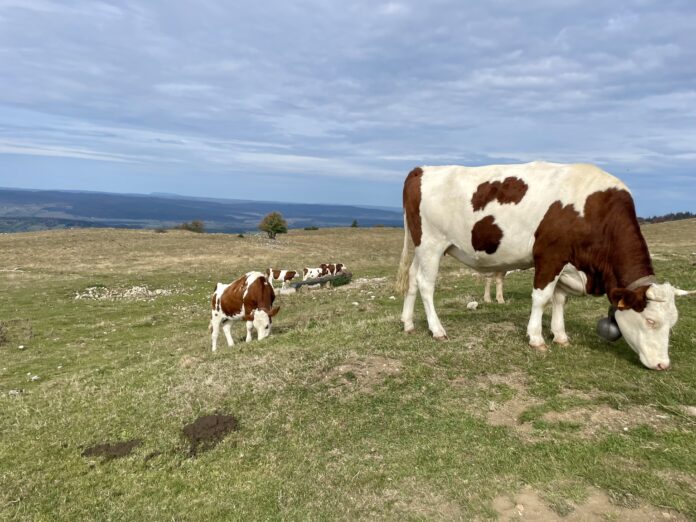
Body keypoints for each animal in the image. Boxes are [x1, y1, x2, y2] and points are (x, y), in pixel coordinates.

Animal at [396, 161, 689, 370]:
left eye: (673, 323)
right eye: (650, 320)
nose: (663, 365)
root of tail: (422, 169)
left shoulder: (567, 264)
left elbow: (559, 300)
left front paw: (560, 336)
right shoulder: (550, 257)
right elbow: (541, 297)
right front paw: (536, 338)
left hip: (422, 248)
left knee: (412, 279)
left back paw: (408, 323)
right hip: (432, 244)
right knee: (426, 285)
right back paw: (437, 330)